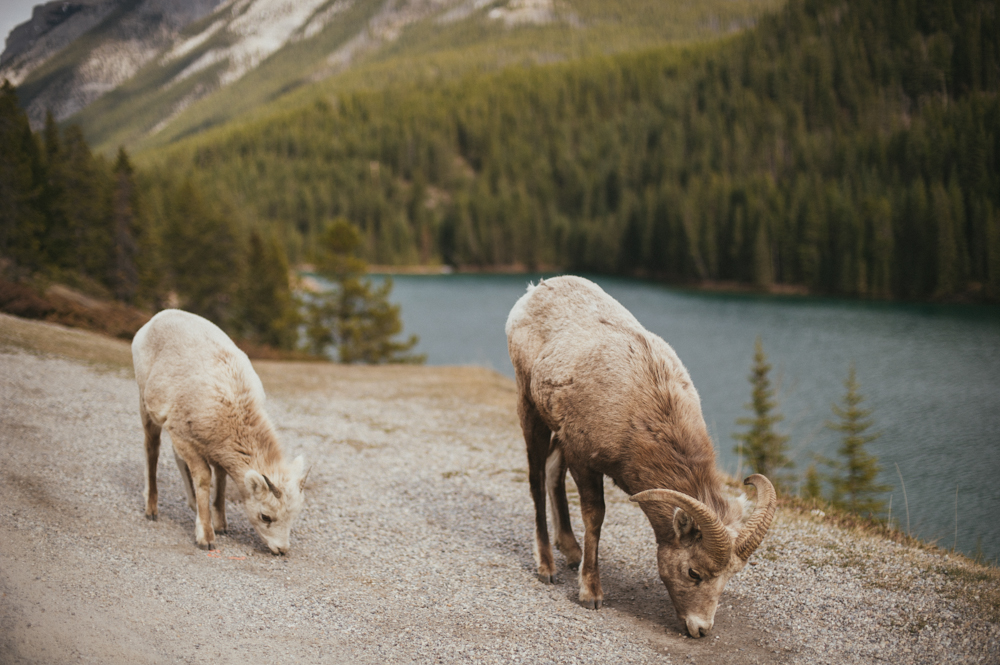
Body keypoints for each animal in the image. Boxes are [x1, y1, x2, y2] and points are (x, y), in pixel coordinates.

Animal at [131, 308, 306, 552]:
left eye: (294, 516)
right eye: (265, 516)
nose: (281, 550)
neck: (232, 404)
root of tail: (157, 318)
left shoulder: (212, 447)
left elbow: (221, 478)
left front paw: (221, 524)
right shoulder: (183, 438)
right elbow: (205, 478)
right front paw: (206, 538)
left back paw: (192, 504)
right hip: (145, 405)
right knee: (152, 448)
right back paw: (151, 510)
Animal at [504, 276, 776, 640]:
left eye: (729, 578)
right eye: (693, 573)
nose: (701, 629)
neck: (642, 408)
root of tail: (535, 290)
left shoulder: (573, 447)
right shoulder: (584, 460)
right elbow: (595, 517)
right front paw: (591, 594)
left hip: (557, 431)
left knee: (550, 473)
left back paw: (571, 552)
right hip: (529, 407)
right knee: (535, 478)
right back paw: (546, 566)